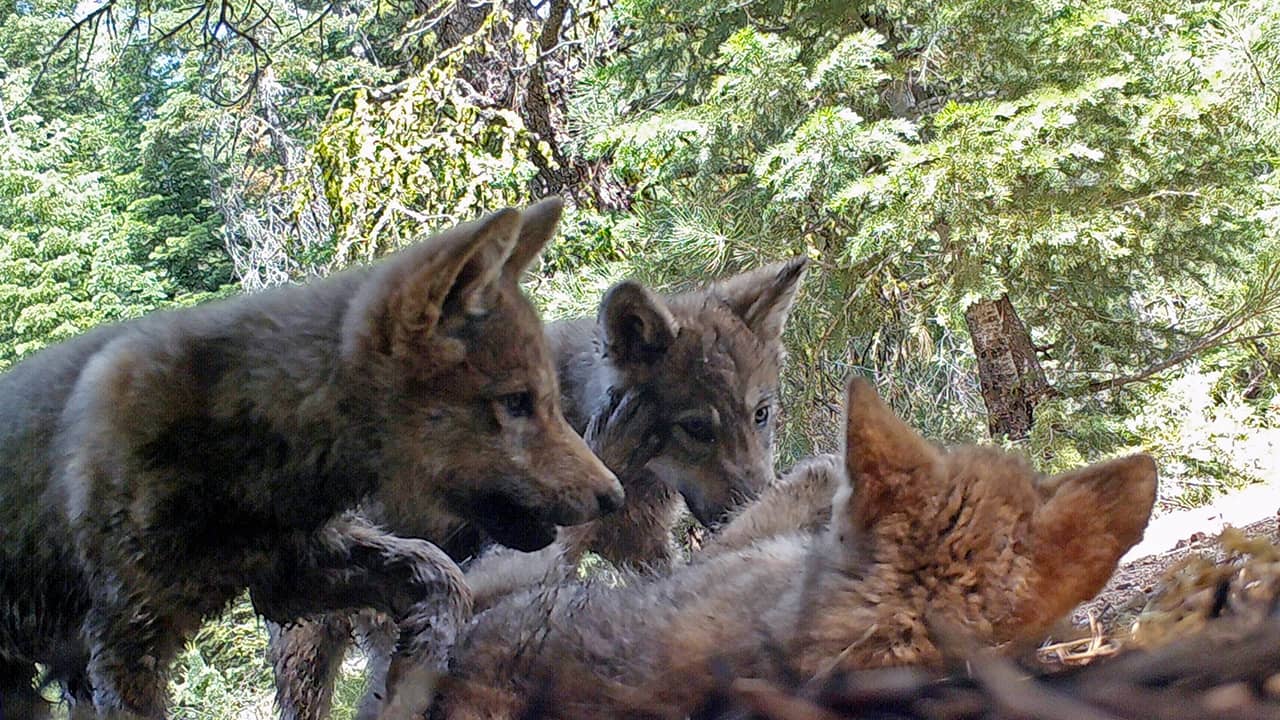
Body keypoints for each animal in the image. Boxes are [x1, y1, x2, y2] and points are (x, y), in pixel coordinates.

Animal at [0, 198, 623, 719]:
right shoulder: (123, 646)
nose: (614, 496)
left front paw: (408, 678)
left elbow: (443, 579)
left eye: (549, 400)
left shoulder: (293, 575)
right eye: (516, 403)